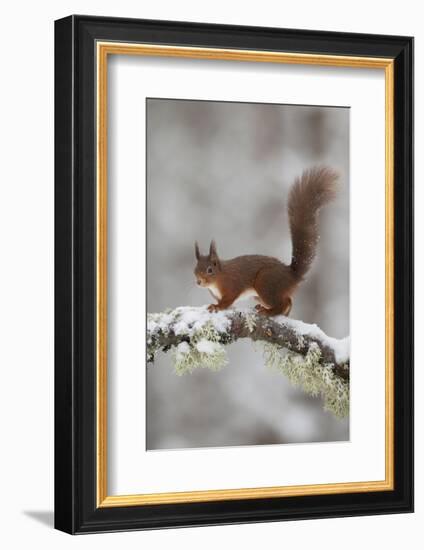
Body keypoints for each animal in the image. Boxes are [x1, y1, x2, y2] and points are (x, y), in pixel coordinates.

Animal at [195, 166, 338, 316]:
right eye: (195, 269)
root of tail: (291, 276)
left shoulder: (232, 285)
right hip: (260, 293)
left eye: (210, 270)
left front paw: (217, 307)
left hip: (265, 282)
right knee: (288, 300)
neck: (219, 277)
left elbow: (227, 300)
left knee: (283, 302)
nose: (199, 282)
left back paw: (268, 311)